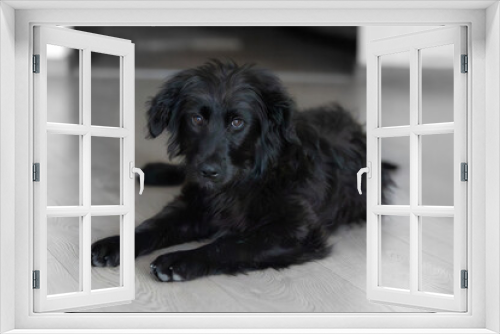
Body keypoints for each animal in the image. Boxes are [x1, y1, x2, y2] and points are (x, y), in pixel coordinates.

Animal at [90, 60, 394, 282]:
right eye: (196, 118)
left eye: (237, 122)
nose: (208, 171)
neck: (248, 178)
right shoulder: (193, 205)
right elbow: (153, 225)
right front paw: (115, 243)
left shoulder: (296, 230)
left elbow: (231, 244)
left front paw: (180, 259)